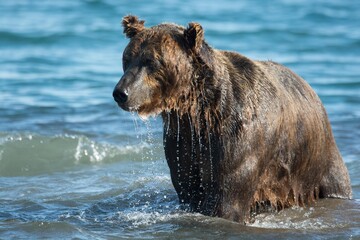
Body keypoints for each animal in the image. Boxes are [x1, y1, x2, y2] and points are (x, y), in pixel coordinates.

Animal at [112, 15, 352, 224]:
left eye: (151, 61)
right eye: (127, 58)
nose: (121, 93)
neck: (199, 113)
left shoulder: (238, 139)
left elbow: (229, 198)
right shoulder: (183, 143)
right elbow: (187, 188)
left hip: (319, 161)